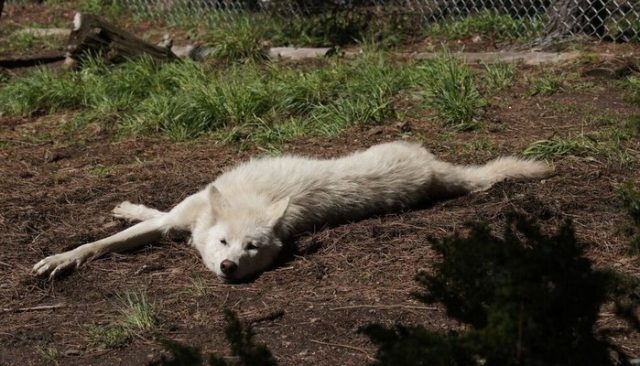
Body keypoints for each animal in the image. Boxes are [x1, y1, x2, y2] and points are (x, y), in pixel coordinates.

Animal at [32, 140, 552, 280]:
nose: (228, 267)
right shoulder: (181, 217)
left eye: (252, 249)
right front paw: (63, 257)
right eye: (224, 243)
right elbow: (106, 241)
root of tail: (434, 170)